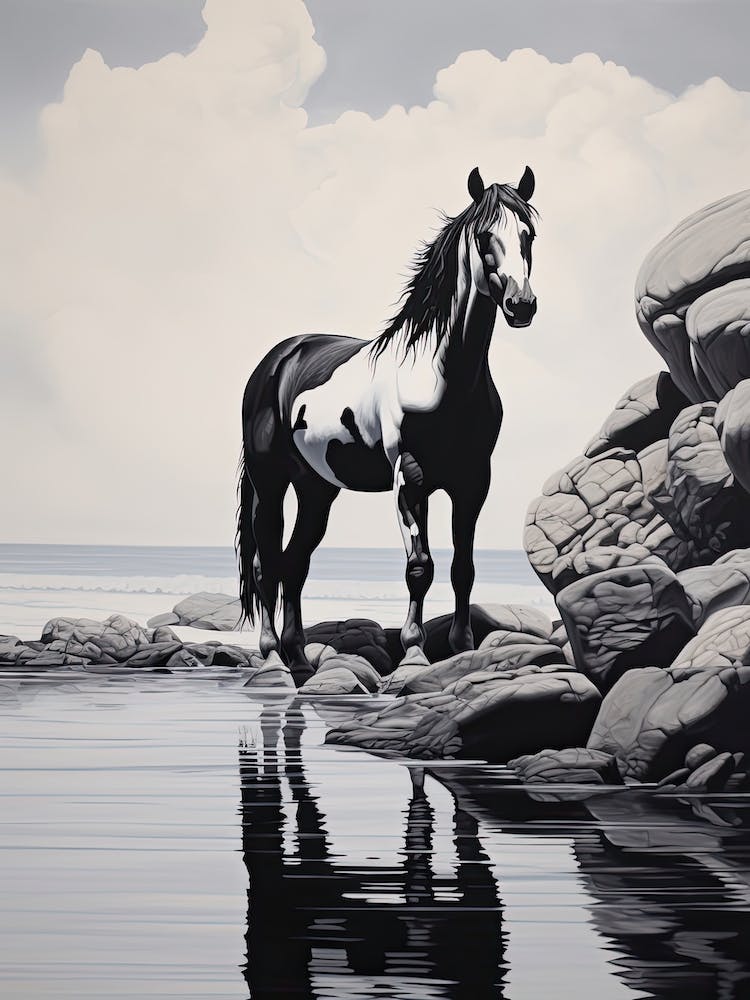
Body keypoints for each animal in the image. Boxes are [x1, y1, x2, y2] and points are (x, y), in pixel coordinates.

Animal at [237, 165, 539, 682]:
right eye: (484, 236)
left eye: (528, 235)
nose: (522, 305)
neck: (442, 376)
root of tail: (276, 360)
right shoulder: (411, 477)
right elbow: (420, 565)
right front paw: (414, 653)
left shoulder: (473, 482)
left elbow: (463, 567)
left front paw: (461, 648)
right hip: (270, 484)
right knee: (268, 565)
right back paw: (273, 656)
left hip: (317, 490)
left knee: (295, 564)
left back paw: (300, 659)